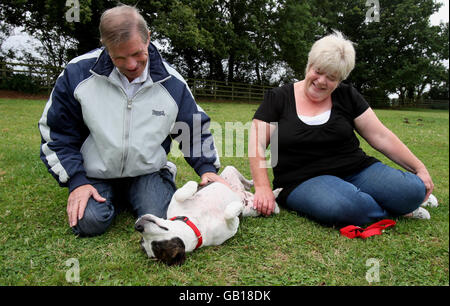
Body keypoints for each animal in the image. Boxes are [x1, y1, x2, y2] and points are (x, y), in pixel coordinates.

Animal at [134, 165, 282, 266]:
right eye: (156, 246)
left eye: (143, 241)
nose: (138, 226)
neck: (195, 223)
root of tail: (244, 194)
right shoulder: (232, 228)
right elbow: (229, 214)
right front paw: (236, 206)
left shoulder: (175, 203)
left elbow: (180, 192)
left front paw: (196, 185)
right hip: (254, 209)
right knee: (270, 205)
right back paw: (273, 198)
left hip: (229, 172)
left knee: (244, 181)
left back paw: (251, 183)